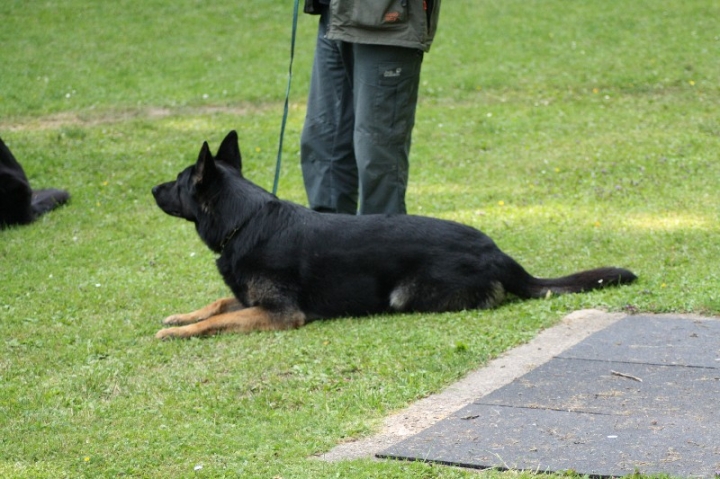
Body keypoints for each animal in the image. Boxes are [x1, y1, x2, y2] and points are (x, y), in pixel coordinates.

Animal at [150, 131, 636, 340]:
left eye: (179, 182)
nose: (152, 189)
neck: (245, 219)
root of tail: (498, 251)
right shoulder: (252, 300)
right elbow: (217, 303)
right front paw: (180, 317)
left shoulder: (279, 314)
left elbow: (218, 319)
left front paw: (180, 332)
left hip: (406, 294)